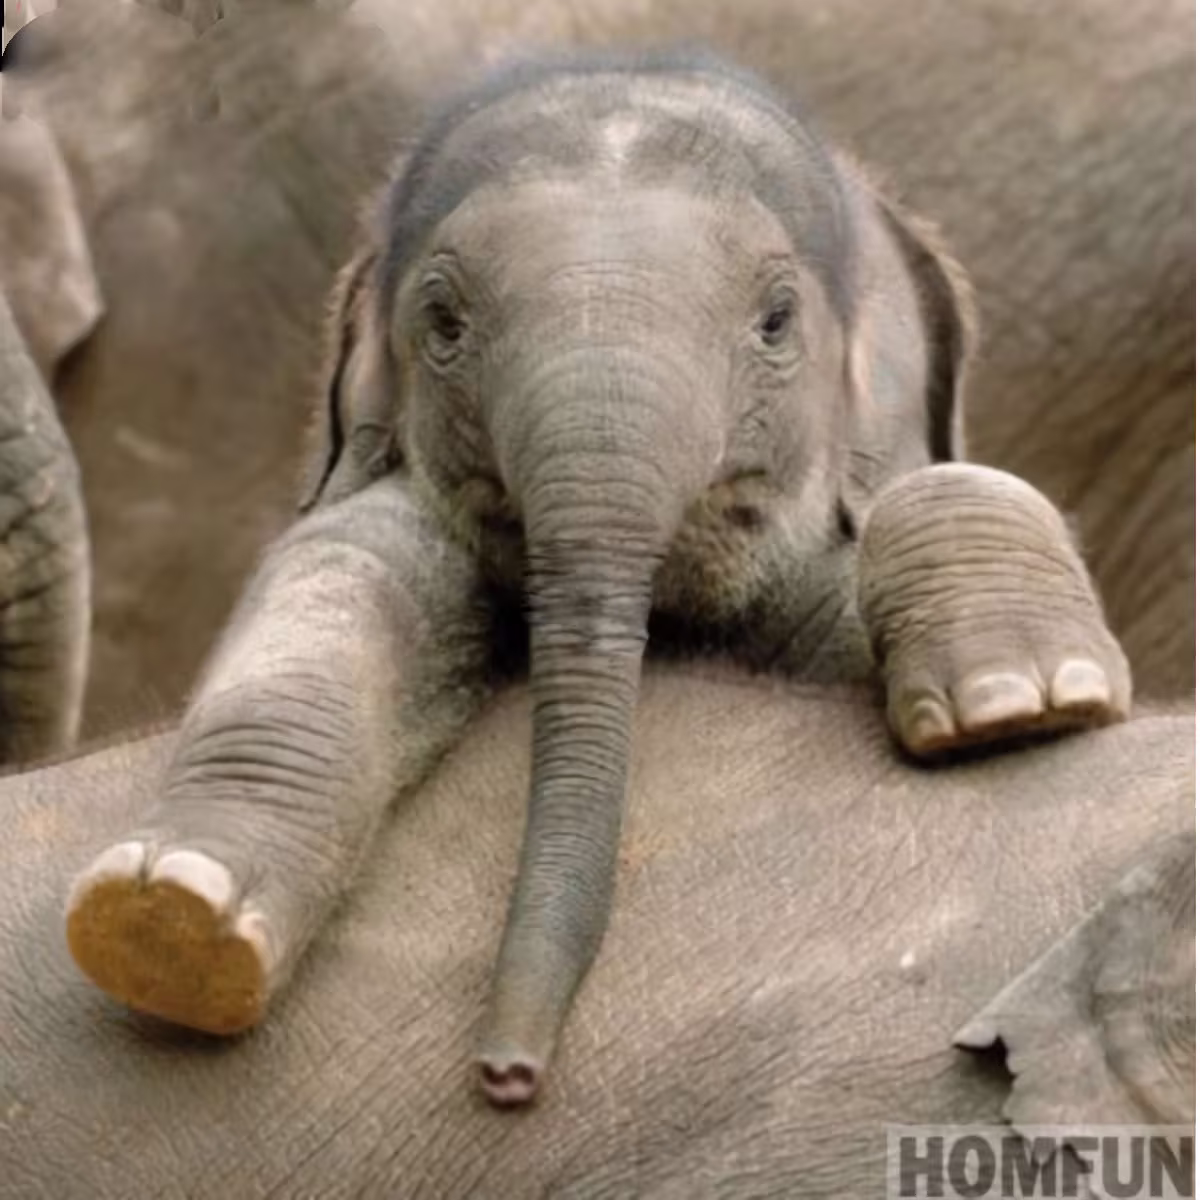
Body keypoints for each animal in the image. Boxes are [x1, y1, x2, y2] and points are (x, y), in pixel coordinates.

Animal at [63, 55, 1133, 1106]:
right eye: (443, 322)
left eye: (776, 322)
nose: (506, 1075)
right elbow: (339, 569)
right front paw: (170, 920)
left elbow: (941, 498)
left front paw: (1020, 703)